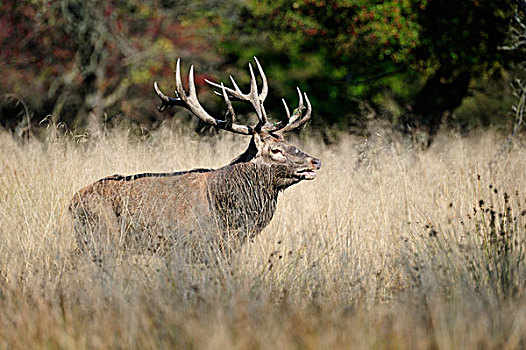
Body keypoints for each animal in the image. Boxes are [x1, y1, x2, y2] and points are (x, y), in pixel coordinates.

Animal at [70, 57, 322, 260]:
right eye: (275, 150)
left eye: (289, 143)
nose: (315, 161)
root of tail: (72, 203)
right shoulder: (189, 245)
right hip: (101, 235)